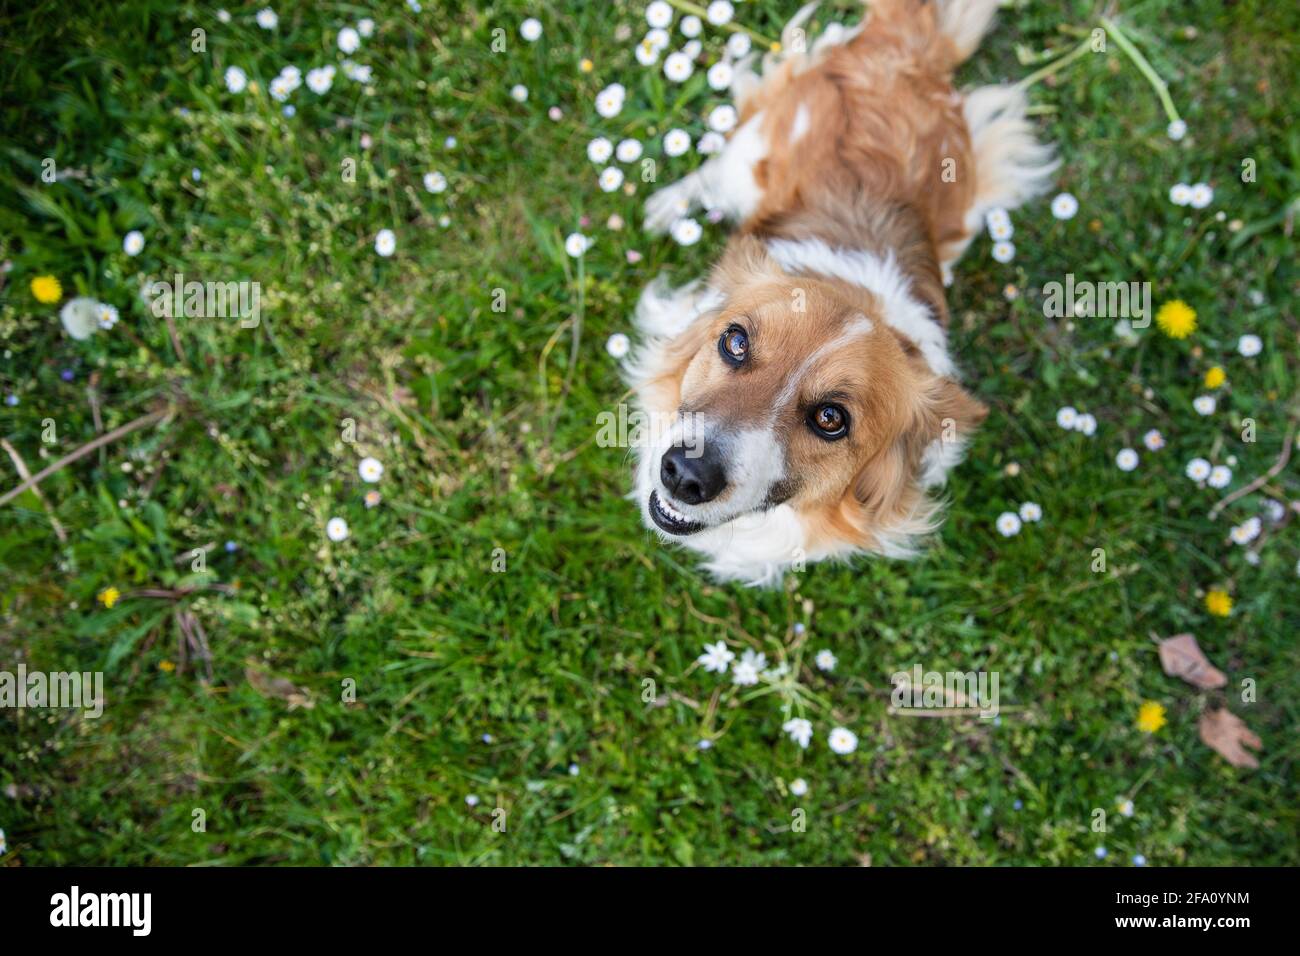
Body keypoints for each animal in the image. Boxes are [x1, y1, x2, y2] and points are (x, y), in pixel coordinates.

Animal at [624, 0, 1060, 582]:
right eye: (734, 342)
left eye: (831, 419)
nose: (684, 473)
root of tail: (905, 51)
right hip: (752, 158)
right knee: (715, 168)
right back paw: (667, 205)